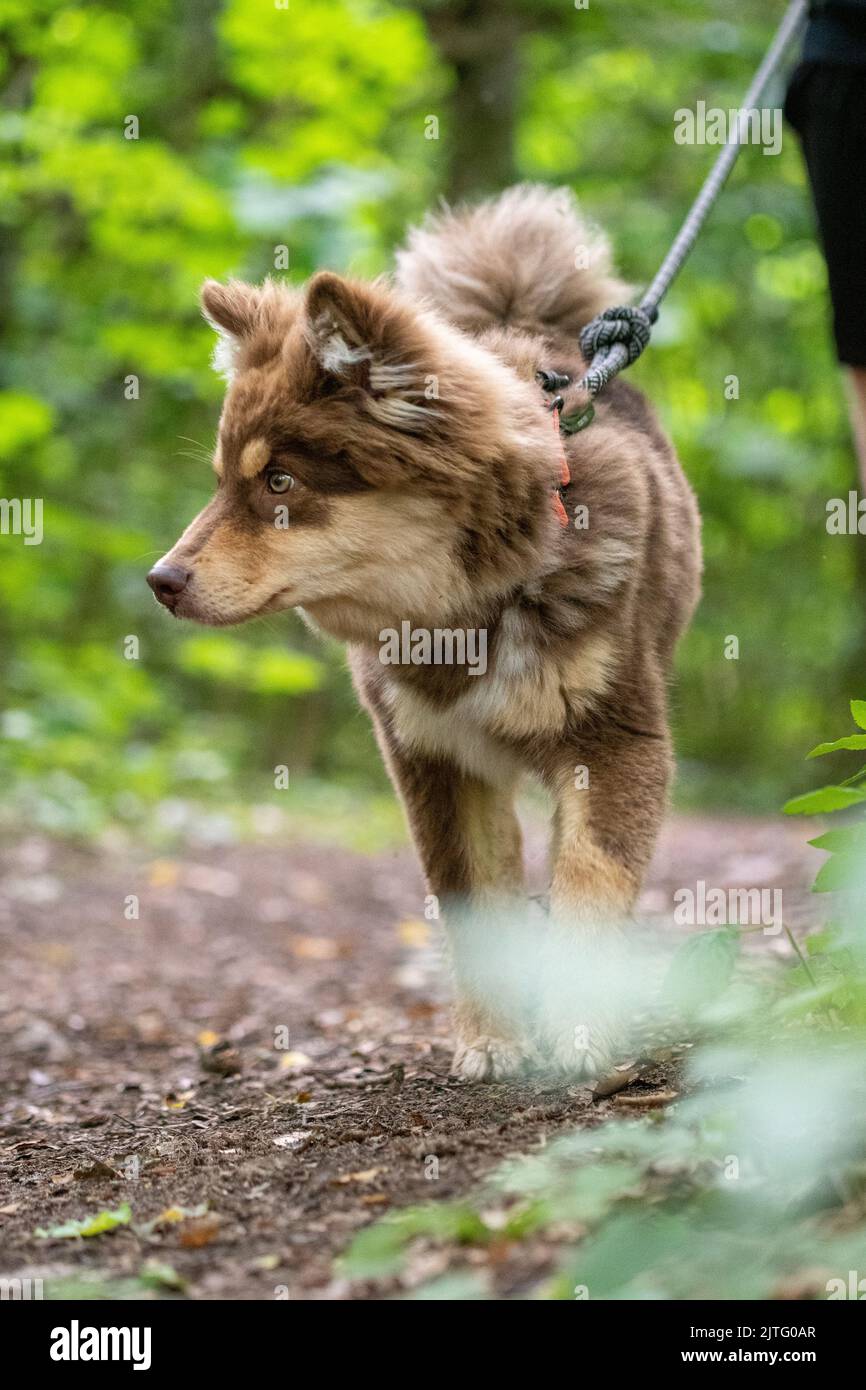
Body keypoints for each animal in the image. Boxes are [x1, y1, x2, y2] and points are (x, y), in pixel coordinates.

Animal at [147, 184, 706, 1078]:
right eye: (223, 483)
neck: (467, 614)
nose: (160, 581)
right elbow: (475, 908)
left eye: (280, 483)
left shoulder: (615, 741)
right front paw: (493, 1042)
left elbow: (590, 887)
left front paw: (580, 1031)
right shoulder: (437, 758)